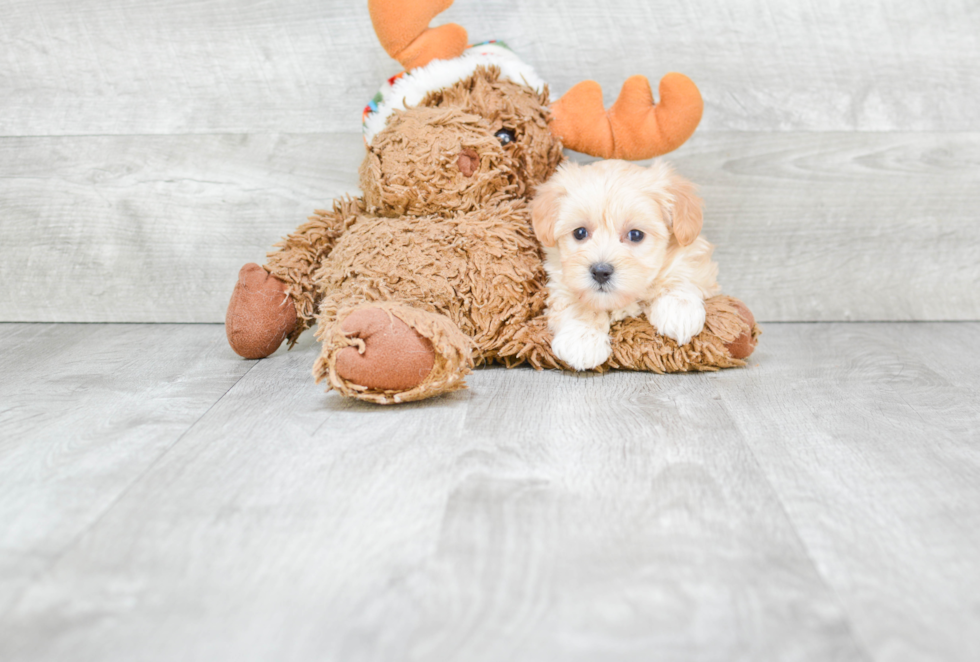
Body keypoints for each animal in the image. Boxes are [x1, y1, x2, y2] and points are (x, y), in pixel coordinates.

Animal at [528, 159, 720, 370]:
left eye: (635, 235)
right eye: (580, 233)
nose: (600, 272)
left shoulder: (693, 259)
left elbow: (682, 271)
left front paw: (679, 310)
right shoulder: (560, 280)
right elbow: (576, 302)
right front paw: (583, 338)